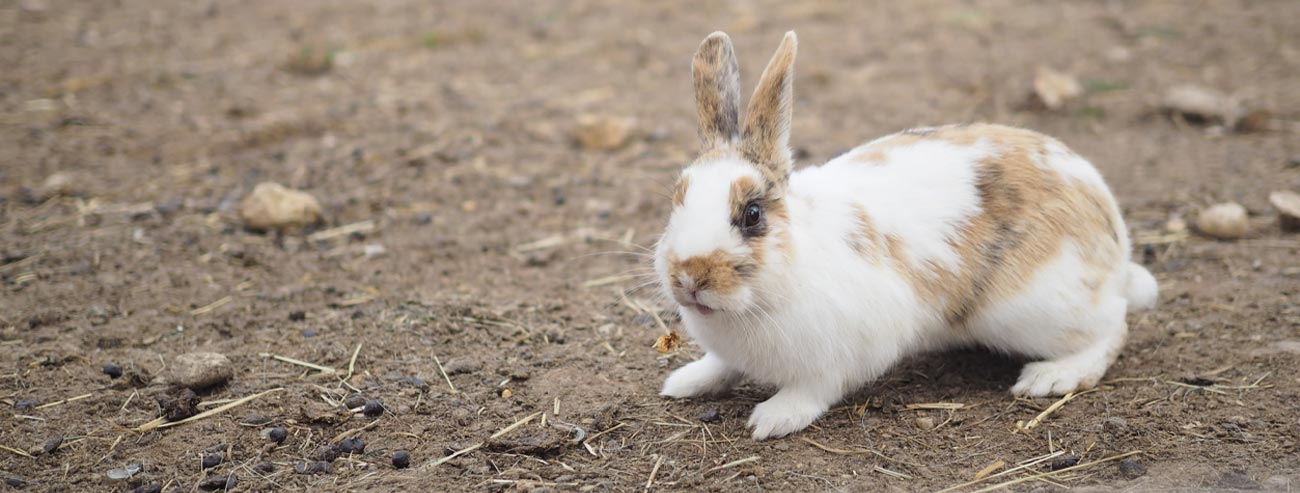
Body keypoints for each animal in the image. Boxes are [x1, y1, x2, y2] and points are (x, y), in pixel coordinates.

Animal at [655, 29, 1164, 439]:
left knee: (1112, 327)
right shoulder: (730, 354)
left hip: (1038, 309)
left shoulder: (841, 355)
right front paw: (683, 383)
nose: (690, 278)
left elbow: (814, 390)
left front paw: (772, 419)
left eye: (753, 214)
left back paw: (1051, 377)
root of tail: (1114, 243)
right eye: (676, 198)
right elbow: (720, 367)